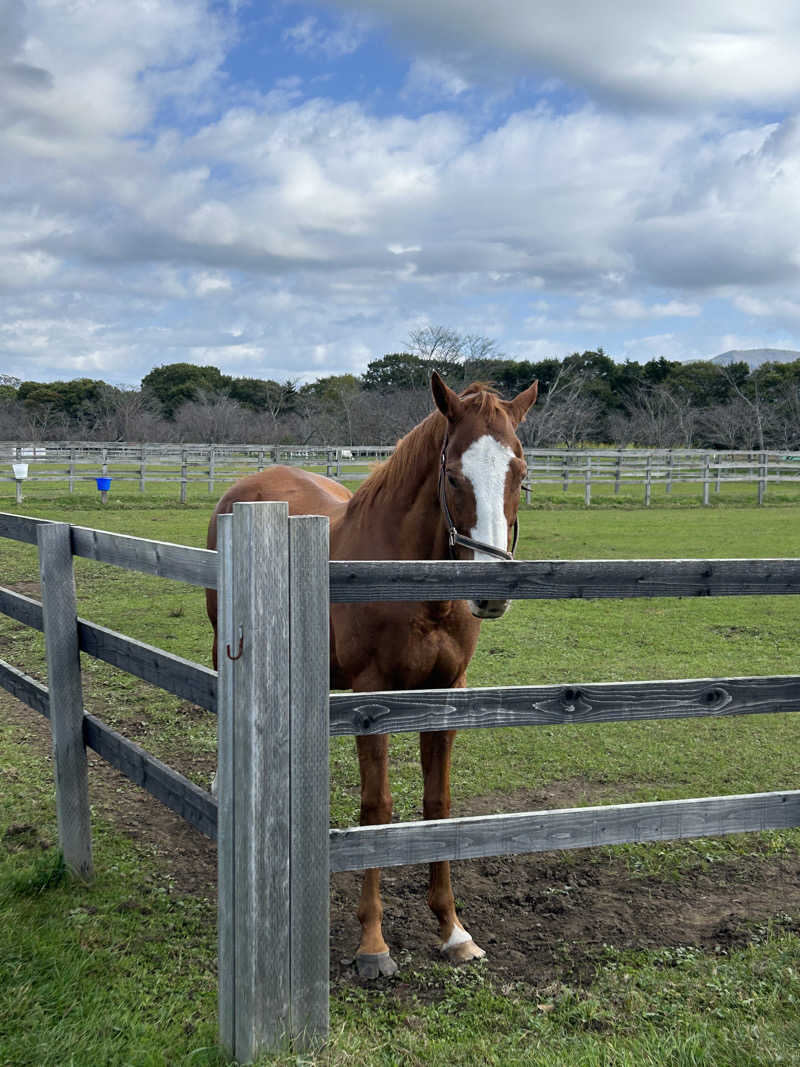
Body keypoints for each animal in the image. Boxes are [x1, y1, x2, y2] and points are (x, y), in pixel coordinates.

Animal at [206, 373, 539, 977]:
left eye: (519, 474)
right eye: (453, 475)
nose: (490, 592)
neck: (415, 588)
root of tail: (250, 486)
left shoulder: (445, 693)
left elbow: (437, 805)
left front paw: (453, 930)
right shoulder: (372, 697)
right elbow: (376, 808)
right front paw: (372, 944)